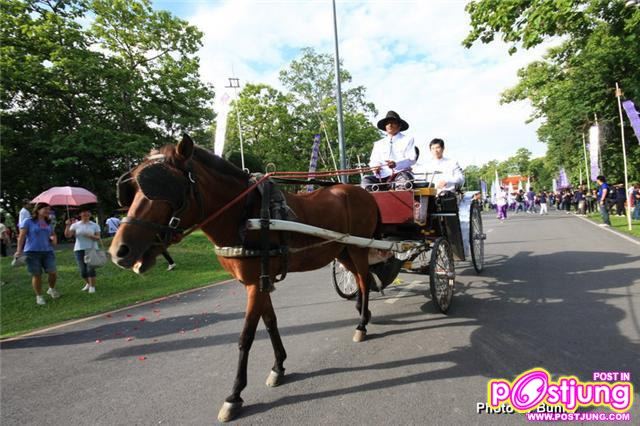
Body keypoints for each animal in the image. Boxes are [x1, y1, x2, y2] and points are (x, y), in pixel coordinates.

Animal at [109, 134, 380, 422]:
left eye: (171, 188)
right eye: (133, 190)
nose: (119, 251)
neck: (246, 216)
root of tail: (361, 192)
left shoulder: (255, 284)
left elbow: (246, 337)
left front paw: (234, 396)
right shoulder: (261, 281)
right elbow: (270, 323)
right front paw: (278, 366)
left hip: (357, 248)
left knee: (364, 281)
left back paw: (361, 325)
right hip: (343, 250)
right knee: (360, 279)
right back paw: (364, 315)